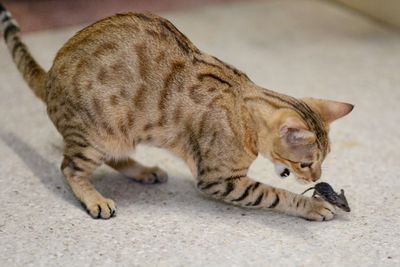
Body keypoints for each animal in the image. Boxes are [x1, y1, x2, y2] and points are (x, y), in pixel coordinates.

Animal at [0, 4, 352, 222]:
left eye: (323, 161)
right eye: (306, 163)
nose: (316, 178)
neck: (241, 103)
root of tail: (48, 75)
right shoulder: (220, 180)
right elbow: (275, 194)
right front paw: (312, 205)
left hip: (120, 134)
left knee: (115, 158)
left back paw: (145, 171)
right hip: (97, 135)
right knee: (70, 168)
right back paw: (96, 199)